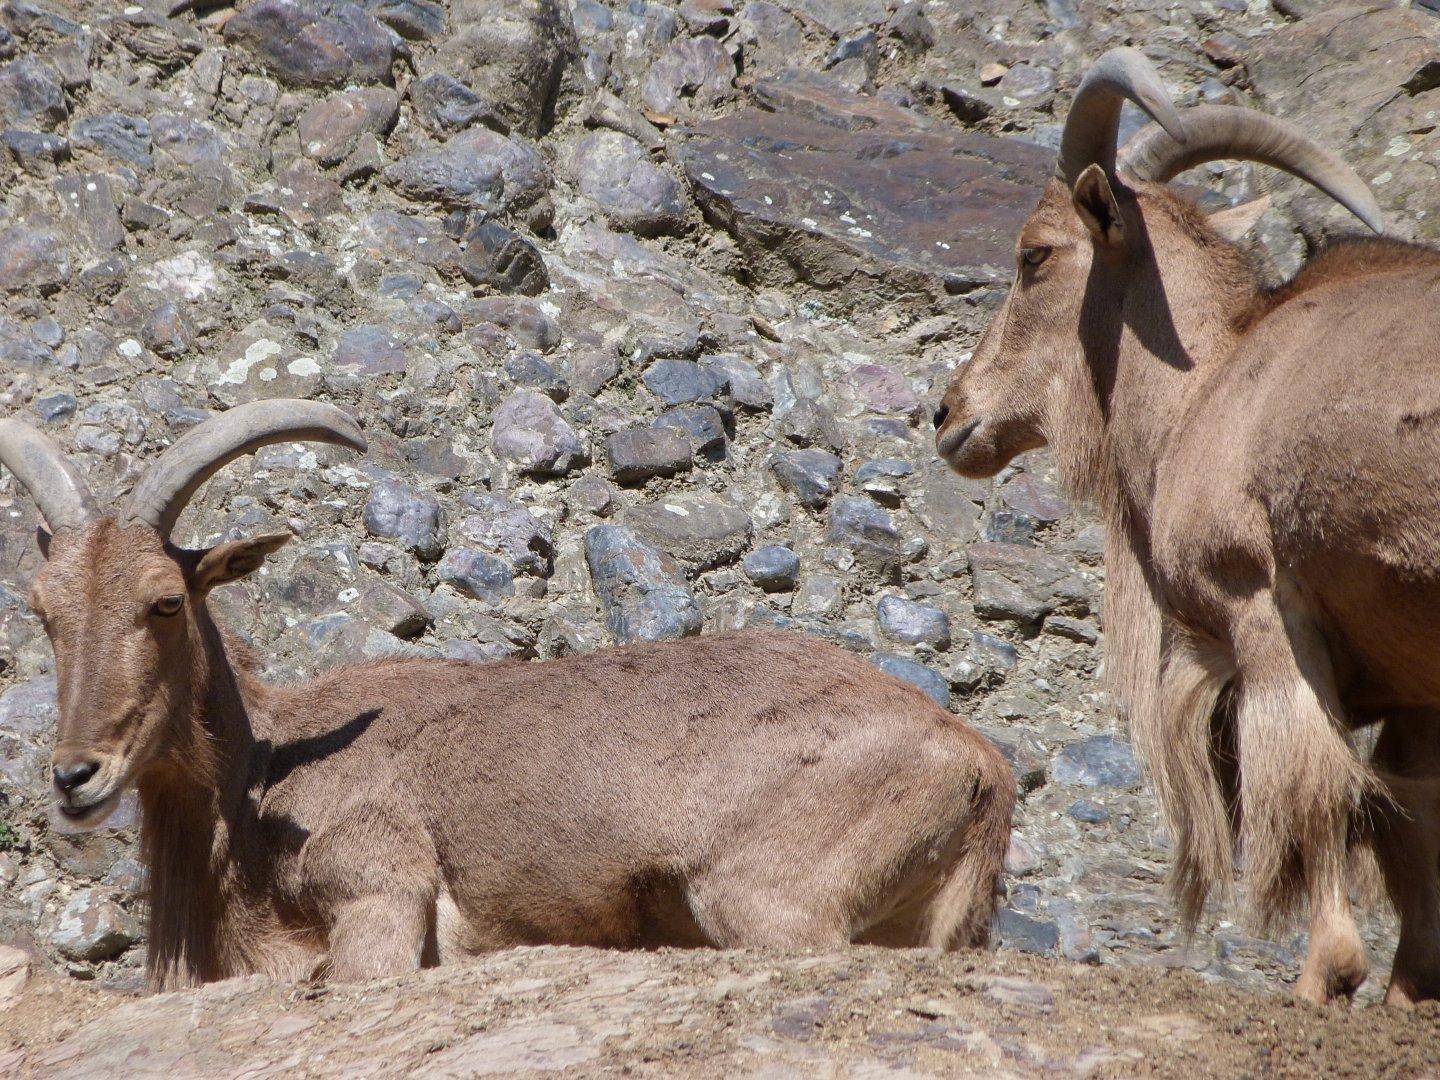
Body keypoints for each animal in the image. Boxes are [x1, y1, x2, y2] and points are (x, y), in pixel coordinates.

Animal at [0, 399, 1014, 990]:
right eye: (43, 609)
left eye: (166, 601)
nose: (76, 776)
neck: (262, 779)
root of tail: (976, 759)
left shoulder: (377, 893)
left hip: (763, 901)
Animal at [932, 46, 1440, 1006]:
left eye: (1034, 254)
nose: (949, 413)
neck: (1212, 383)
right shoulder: (1416, 685)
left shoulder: (1265, 614)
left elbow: (1318, 792)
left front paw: (1322, 977)